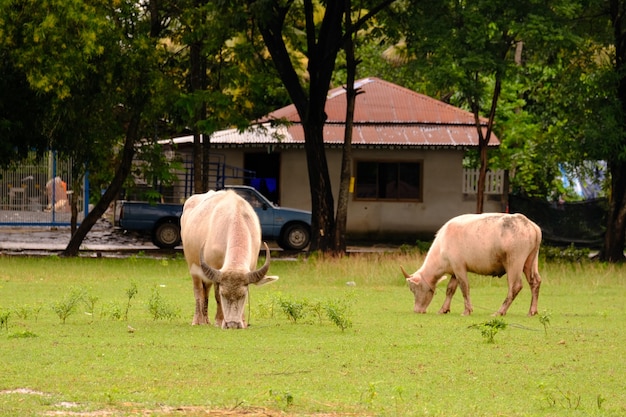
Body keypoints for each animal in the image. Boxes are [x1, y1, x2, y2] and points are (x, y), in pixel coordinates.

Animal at [180, 188, 278, 328]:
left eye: (243, 295)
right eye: (223, 294)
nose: (232, 324)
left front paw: (243, 321)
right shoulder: (215, 268)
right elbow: (216, 296)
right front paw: (219, 320)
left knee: (206, 290)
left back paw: (206, 320)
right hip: (193, 267)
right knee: (198, 290)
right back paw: (197, 320)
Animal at [400, 213, 540, 314]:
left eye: (413, 289)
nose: (417, 310)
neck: (441, 246)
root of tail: (530, 225)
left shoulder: (459, 267)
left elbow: (464, 287)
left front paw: (467, 310)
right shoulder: (454, 270)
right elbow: (450, 289)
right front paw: (443, 309)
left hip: (514, 262)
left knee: (515, 286)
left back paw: (500, 312)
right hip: (530, 261)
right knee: (535, 282)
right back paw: (532, 311)